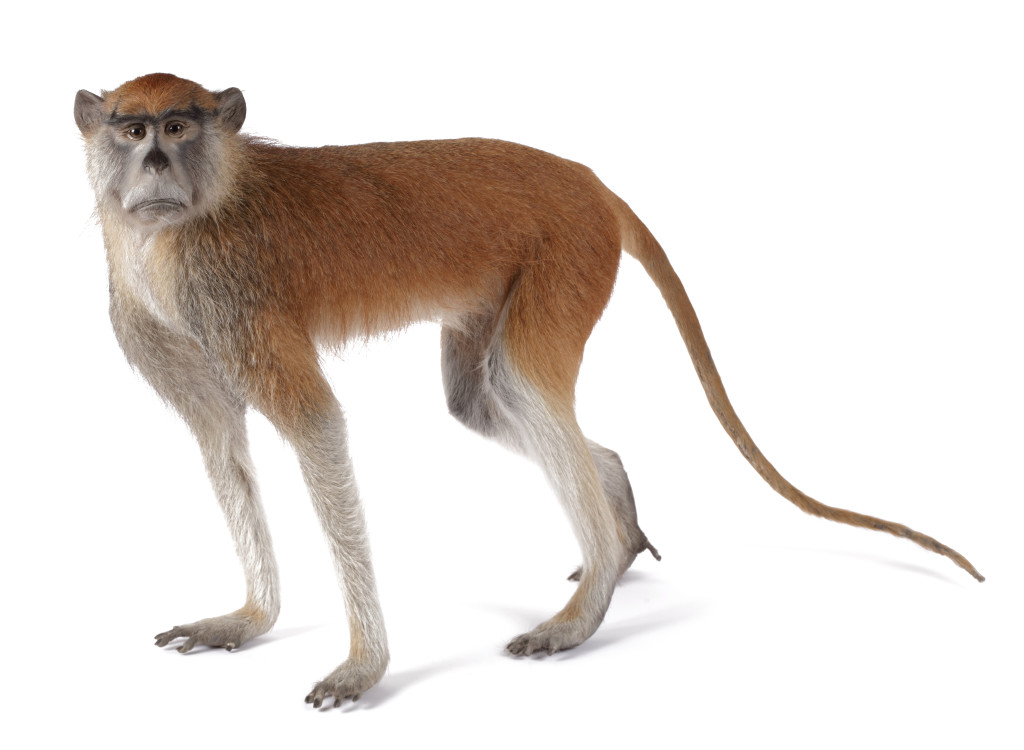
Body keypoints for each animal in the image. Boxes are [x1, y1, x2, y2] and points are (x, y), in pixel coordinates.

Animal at [74, 73, 983, 709]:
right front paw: (249, 619)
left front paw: (364, 667)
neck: (203, 202)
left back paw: (585, 608)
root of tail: (594, 185)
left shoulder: (236, 295)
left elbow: (318, 428)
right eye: (133, 128)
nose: (153, 161)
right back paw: (613, 533)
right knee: (482, 398)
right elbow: (221, 439)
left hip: (568, 257)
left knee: (515, 383)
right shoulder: (162, 312)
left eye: (179, 126)